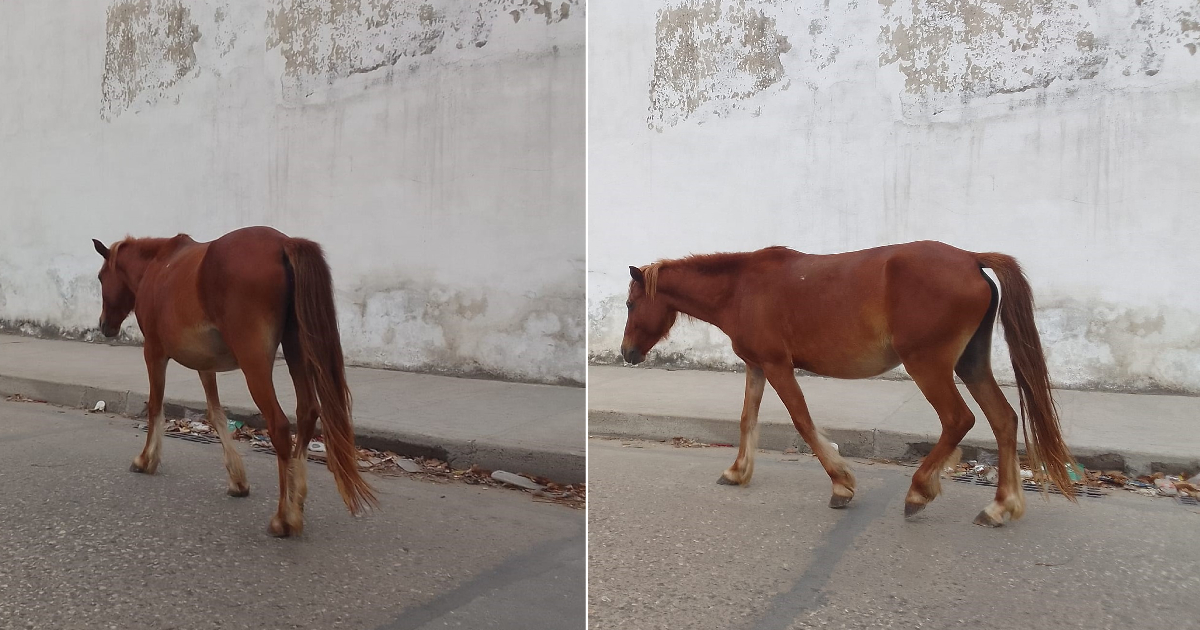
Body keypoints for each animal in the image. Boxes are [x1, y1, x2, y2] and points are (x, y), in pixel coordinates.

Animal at [93, 225, 374, 535]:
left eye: (101, 277)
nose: (104, 325)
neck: (158, 265)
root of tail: (283, 243)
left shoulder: (154, 352)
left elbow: (155, 406)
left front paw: (146, 459)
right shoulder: (205, 364)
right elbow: (215, 414)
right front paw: (238, 479)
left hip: (255, 363)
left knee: (278, 425)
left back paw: (283, 517)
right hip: (296, 350)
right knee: (307, 412)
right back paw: (296, 503)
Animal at [624, 241, 1075, 525]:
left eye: (630, 304)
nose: (627, 353)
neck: (741, 288)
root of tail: (970, 259)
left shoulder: (777, 366)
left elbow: (803, 422)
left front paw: (841, 484)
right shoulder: (757, 367)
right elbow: (747, 419)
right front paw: (737, 471)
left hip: (928, 366)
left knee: (958, 419)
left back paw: (919, 491)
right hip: (971, 364)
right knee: (1003, 420)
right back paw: (1000, 507)